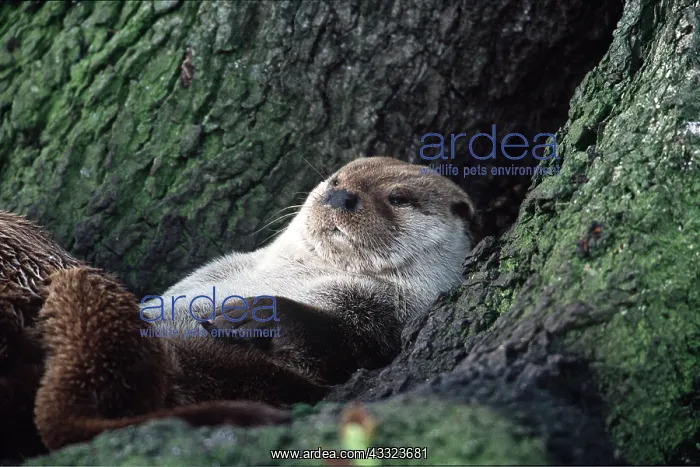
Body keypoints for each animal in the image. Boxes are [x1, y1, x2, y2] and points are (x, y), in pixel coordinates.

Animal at [4, 156, 479, 454]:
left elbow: (332, 348)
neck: (293, 273)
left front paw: (246, 315)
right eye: (336, 181)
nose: (341, 197)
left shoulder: (381, 318)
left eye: (397, 198)